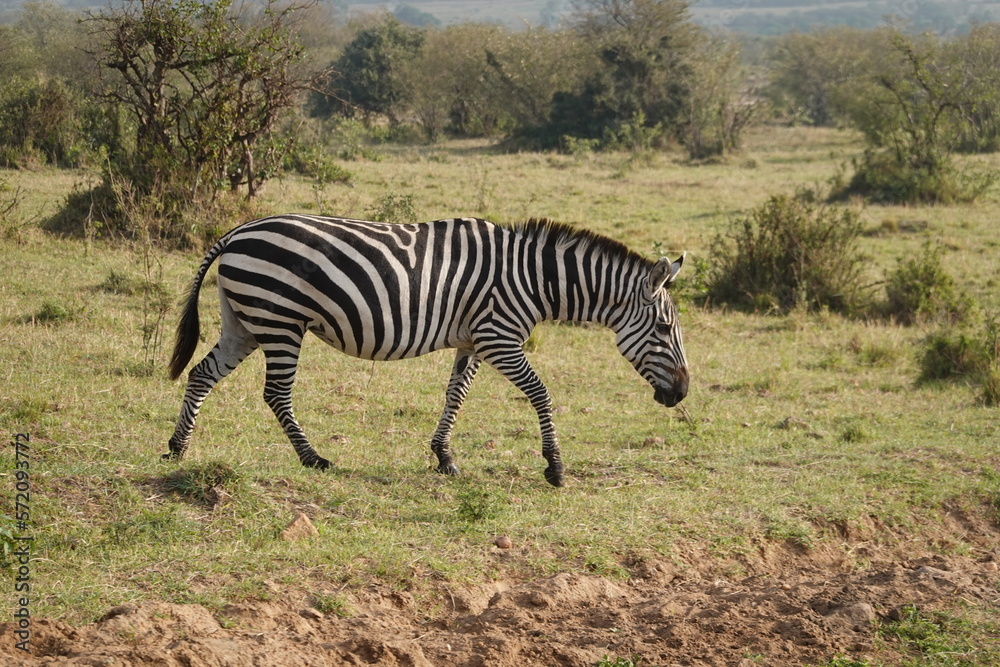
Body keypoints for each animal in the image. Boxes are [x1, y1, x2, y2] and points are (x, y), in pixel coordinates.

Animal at [165, 215, 689, 487]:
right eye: (665, 328)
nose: (681, 394)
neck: (533, 279)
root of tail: (236, 232)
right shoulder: (500, 338)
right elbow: (541, 393)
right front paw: (555, 467)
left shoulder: (474, 340)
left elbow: (455, 396)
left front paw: (443, 456)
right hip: (280, 320)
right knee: (275, 393)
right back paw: (313, 458)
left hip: (246, 322)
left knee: (202, 374)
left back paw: (177, 447)